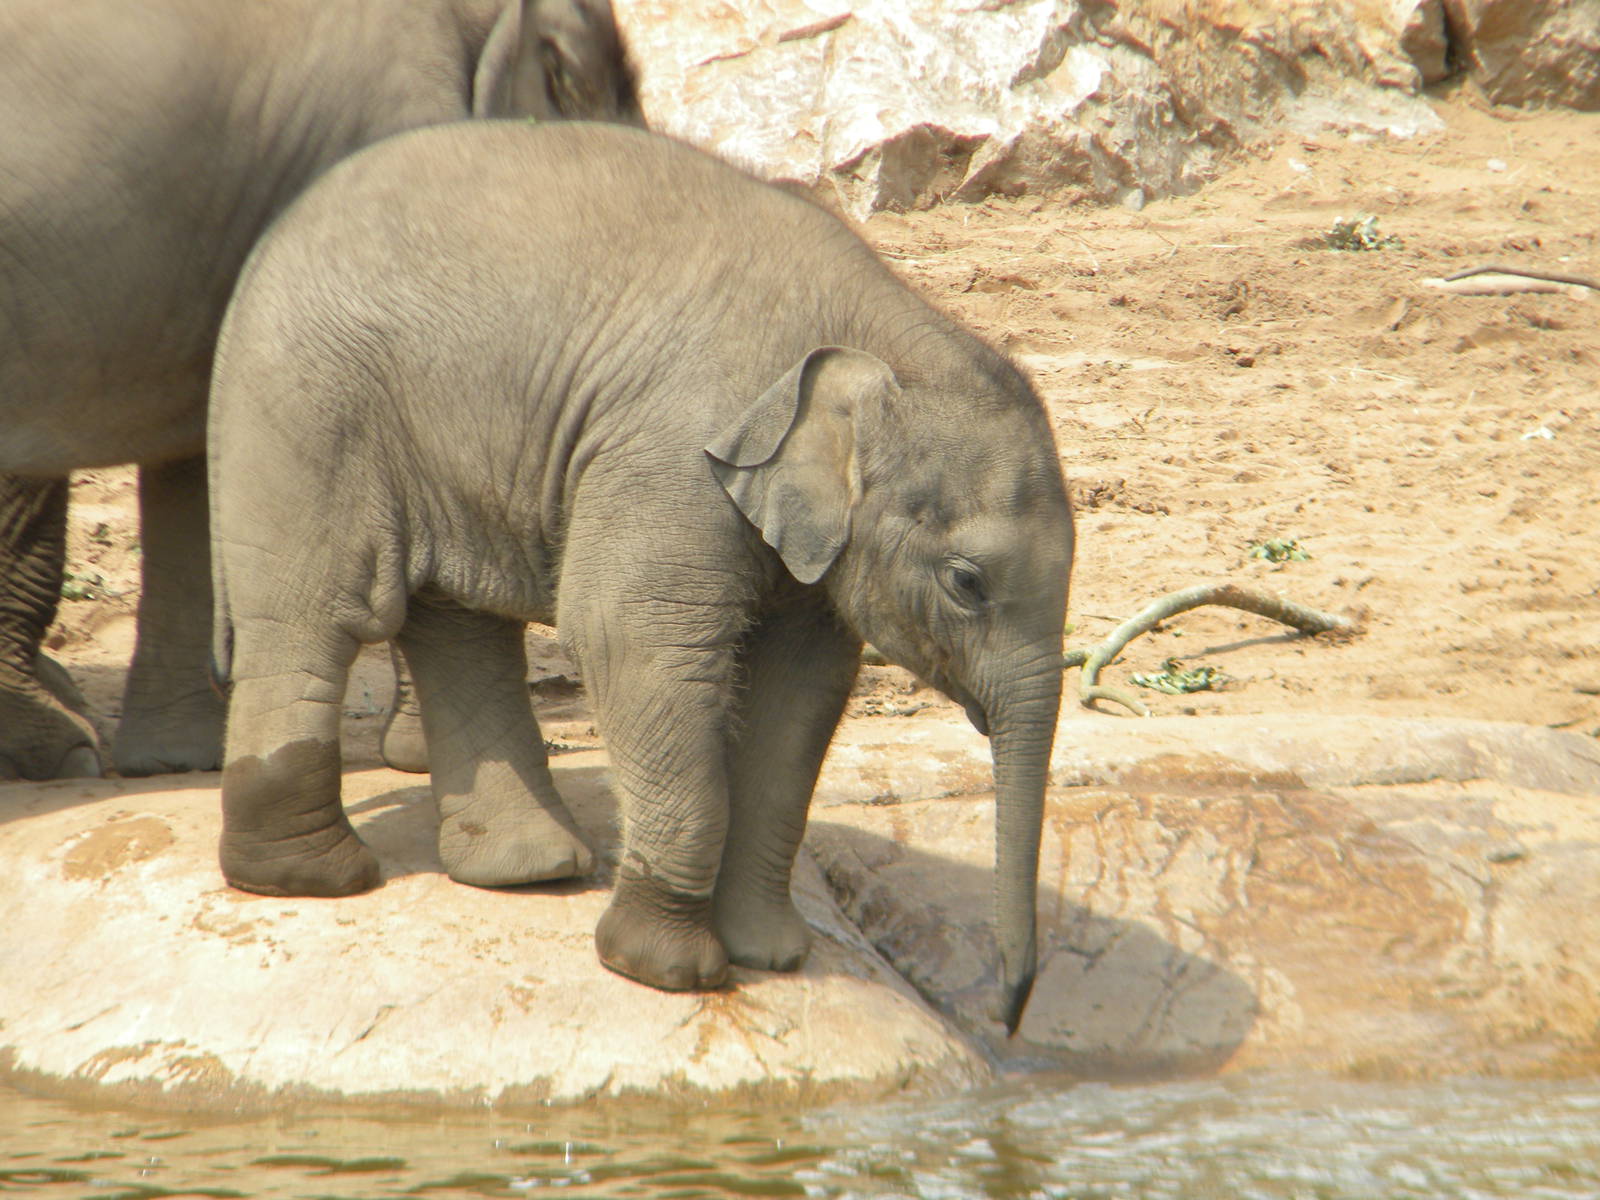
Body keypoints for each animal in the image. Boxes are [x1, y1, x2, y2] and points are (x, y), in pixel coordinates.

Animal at [208, 122, 1074, 1032]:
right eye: (967, 582)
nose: (1009, 1009)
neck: (881, 336)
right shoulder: (674, 453)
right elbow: (627, 633)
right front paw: (665, 971)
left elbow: (801, 689)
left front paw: (772, 956)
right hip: (309, 403)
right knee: (323, 613)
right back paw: (316, 877)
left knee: (457, 620)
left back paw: (529, 870)